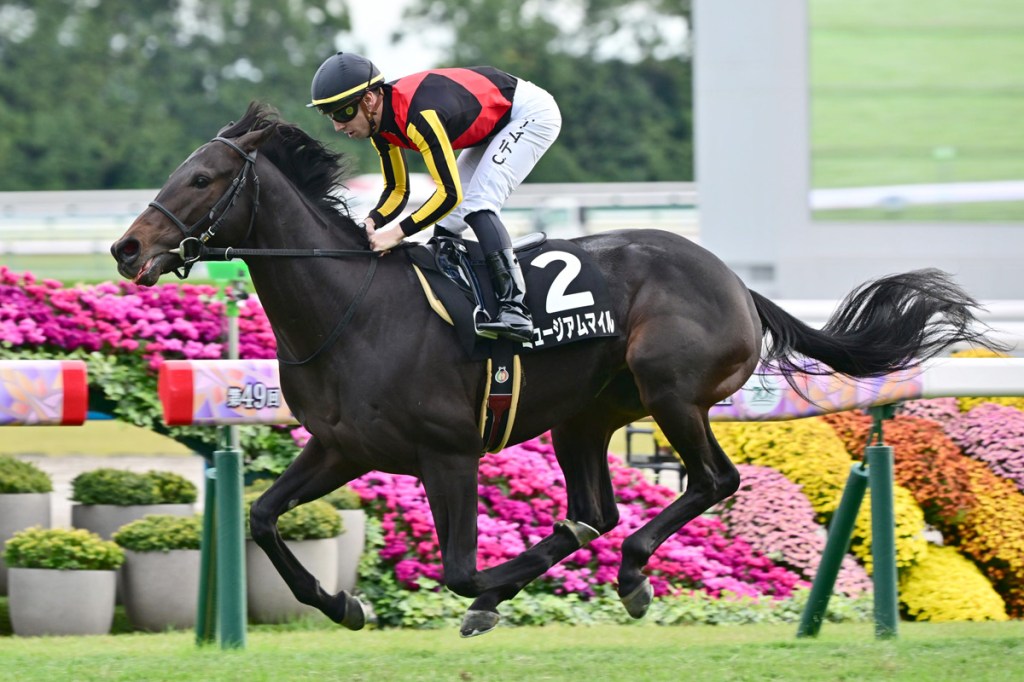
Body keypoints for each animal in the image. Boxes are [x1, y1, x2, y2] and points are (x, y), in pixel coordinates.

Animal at [111, 102, 998, 637]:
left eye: (202, 178)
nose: (125, 247)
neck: (352, 310)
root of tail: (735, 281)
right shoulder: (340, 447)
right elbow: (264, 518)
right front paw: (342, 602)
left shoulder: (448, 454)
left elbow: (460, 568)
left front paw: (486, 592)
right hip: (586, 416)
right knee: (595, 508)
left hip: (672, 391)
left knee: (711, 482)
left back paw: (631, 573)